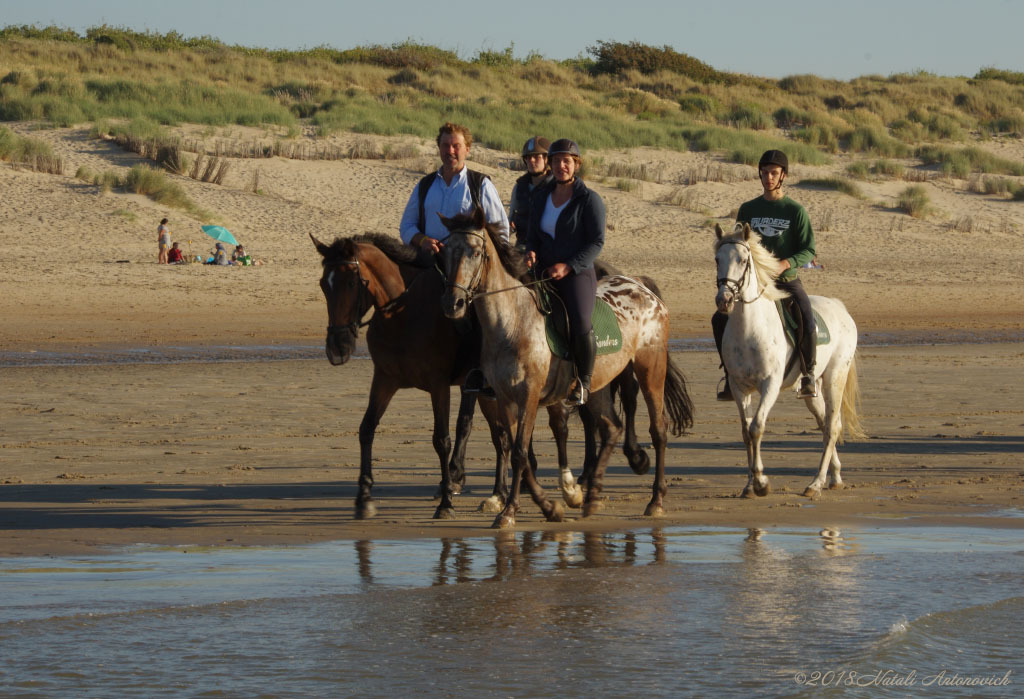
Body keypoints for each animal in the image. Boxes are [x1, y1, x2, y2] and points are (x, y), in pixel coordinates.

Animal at [440, 210, 696, 528]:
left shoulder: (529, 396)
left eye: (475, 252)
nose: (453, 303)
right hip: (598, 383)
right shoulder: (504, 398)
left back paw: (655, 500)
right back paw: (592, 495)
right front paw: (550, 506)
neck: (513, 322)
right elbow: (518, 452)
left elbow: (520, 453)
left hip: (650, 368)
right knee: (611, 427)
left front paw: (510, 511)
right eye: (445, 251)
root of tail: (641, 286)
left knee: (657, 429)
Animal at [716, 223, 868, 497]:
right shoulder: (739, 387)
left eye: (743, 260)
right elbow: (745, 432)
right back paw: (835, 476)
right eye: (717, 259)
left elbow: (757, 427)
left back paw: (816, 483)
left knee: (832, 428)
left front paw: (761, 482)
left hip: (835, 378)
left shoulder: (770, 384)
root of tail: (840, 307)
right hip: (812, 390)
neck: (750, 329)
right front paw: (749, 485)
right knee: (825, 423)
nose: (724, 300)